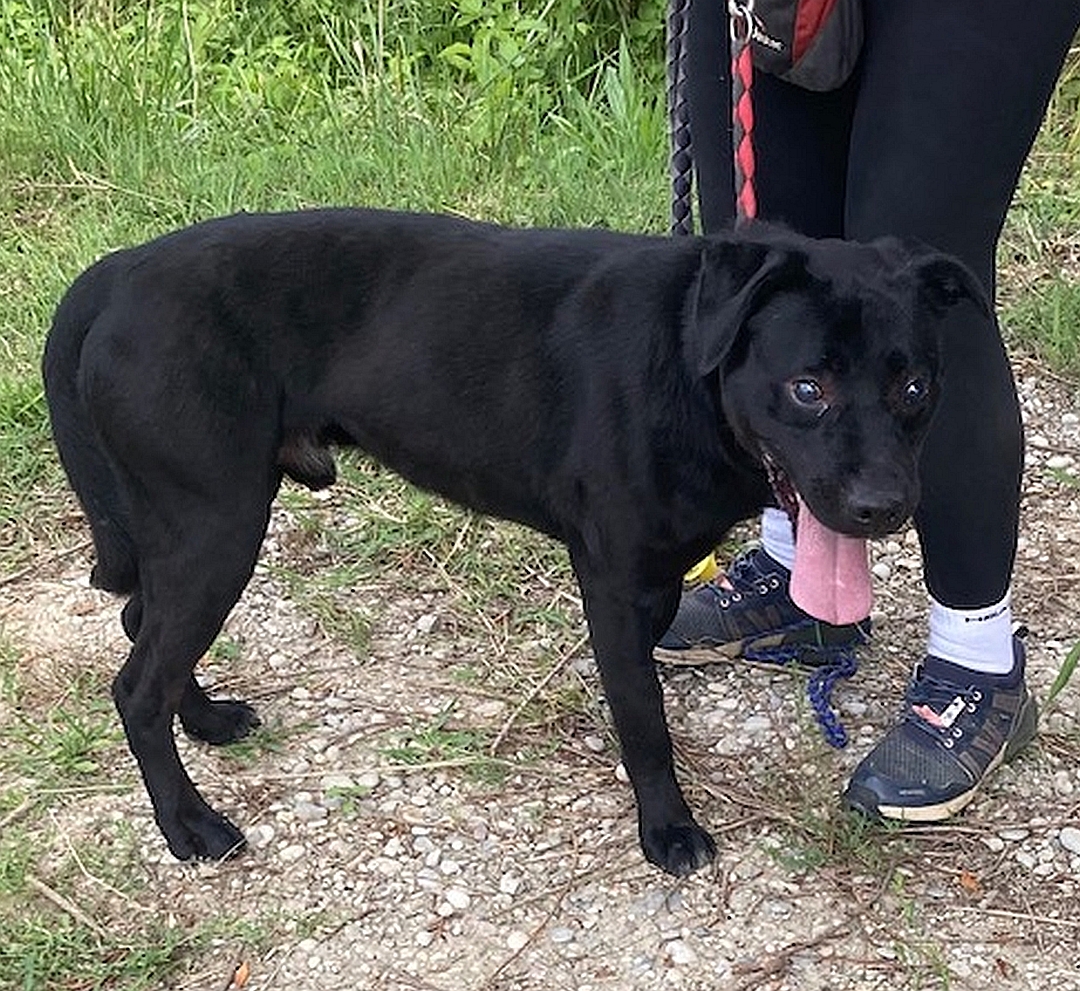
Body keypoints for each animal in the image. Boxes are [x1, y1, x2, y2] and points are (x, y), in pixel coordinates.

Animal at [44, 209, 989, 876]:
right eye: (806, 387)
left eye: (914, 386)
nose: (883, 507)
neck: (688, 361)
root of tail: (116, 274)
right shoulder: (612, 576)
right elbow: (644, 718)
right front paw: (667, 828)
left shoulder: (654, 579)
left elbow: (638, 687)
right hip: (217, 525)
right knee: (135, 683)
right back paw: (189, 825)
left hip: (192, 528)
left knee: (141, 628)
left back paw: (205, 719)